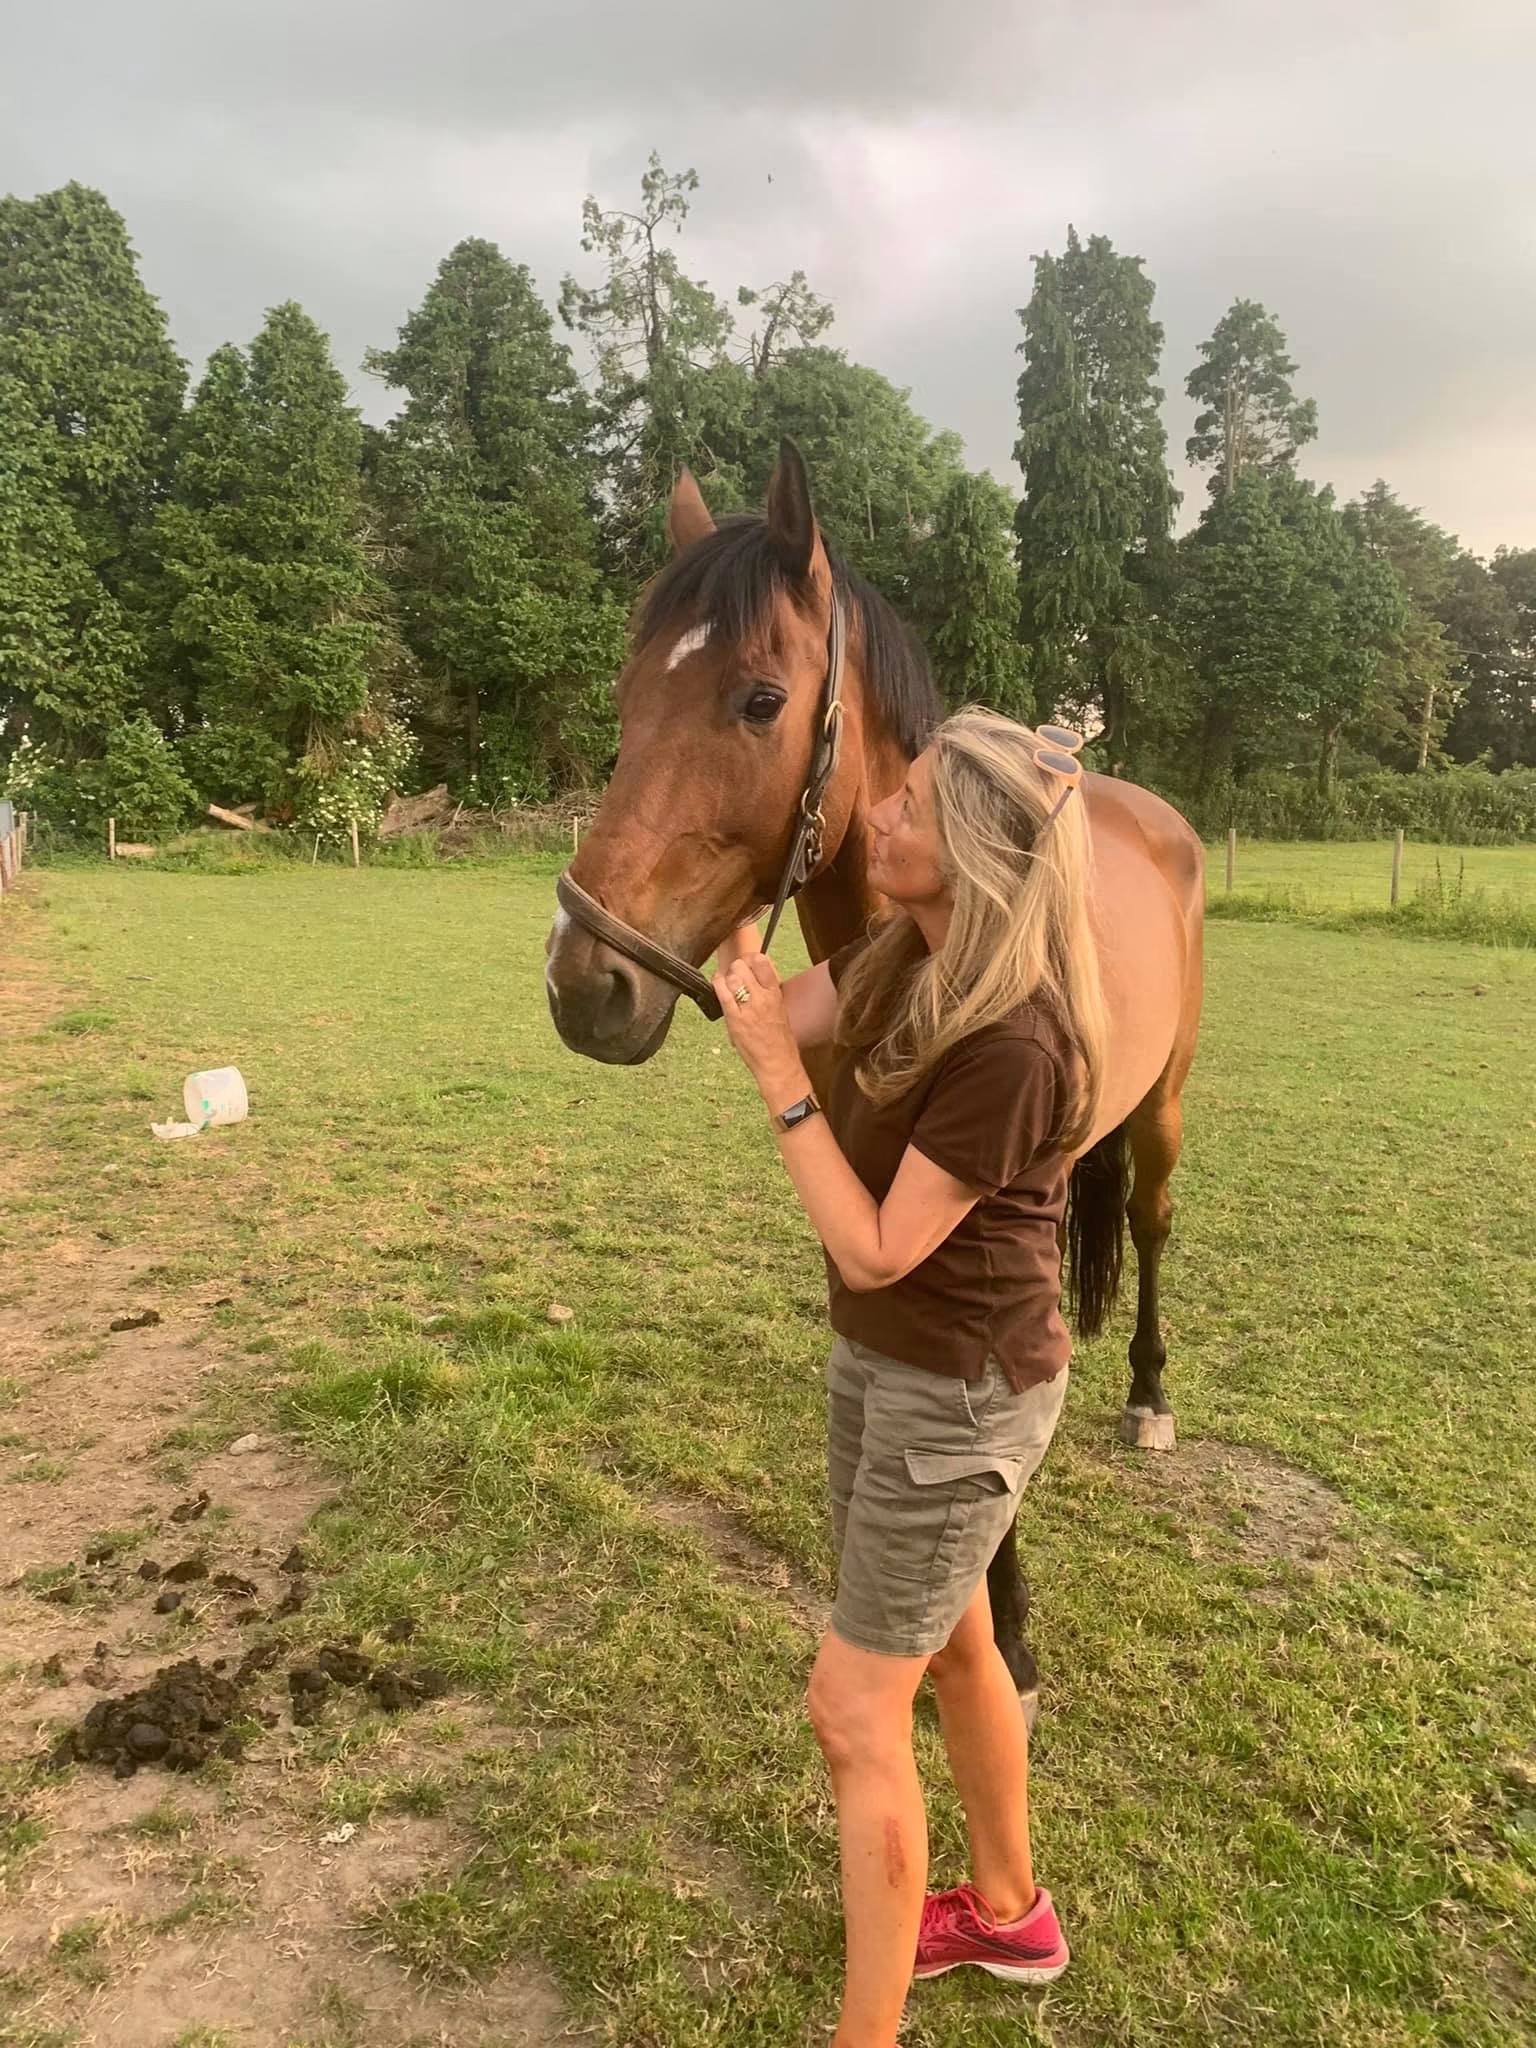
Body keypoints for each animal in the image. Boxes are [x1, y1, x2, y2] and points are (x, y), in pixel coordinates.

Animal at [545, 442, 1205, 1701]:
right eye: (625, 696)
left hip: (1162, 1105)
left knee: (1149, 1224)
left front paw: (1010, 1625)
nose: (582, 984)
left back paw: (1149, 1395)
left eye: (759, 700)